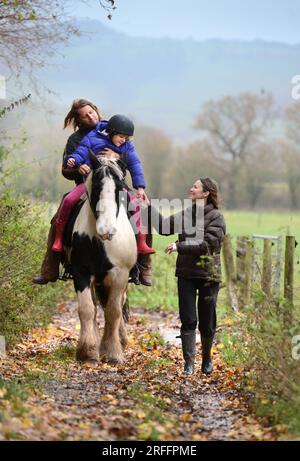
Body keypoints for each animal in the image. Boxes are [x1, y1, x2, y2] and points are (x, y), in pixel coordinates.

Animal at [68, 154, 137, 362]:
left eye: (120, 187)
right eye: (97, 186)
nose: (107, 230)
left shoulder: (120, 275)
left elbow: (113, 312)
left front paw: (113, 352)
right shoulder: (81, 273)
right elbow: (87, 309)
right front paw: (87, 351)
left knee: (116, 305)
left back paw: (121, 340)